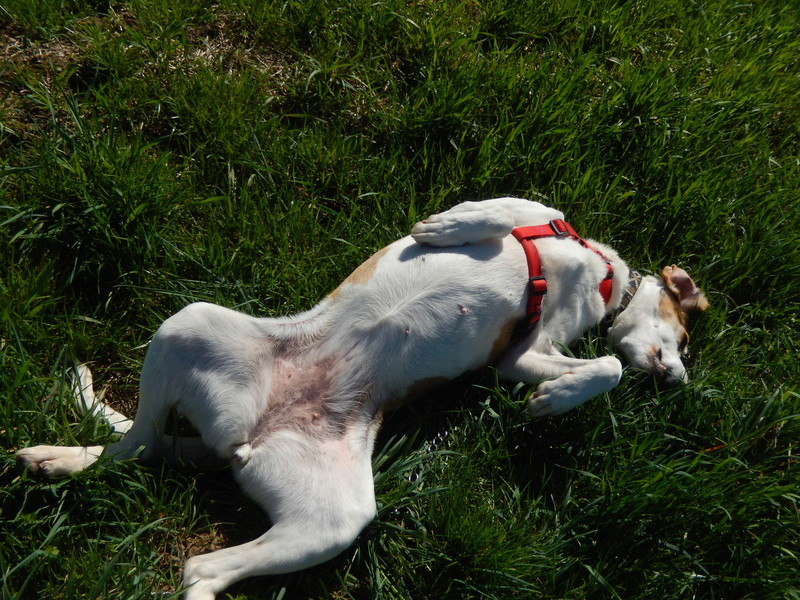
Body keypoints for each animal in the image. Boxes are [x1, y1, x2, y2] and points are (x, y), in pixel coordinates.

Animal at [17, 198, 708, 600]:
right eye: (681, 339)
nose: (676, 380)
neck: (599, 278)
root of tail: (245, 437)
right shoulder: (531, 218)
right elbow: (492, 212)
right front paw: (445, 228)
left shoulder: (523, 353)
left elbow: (601, 367)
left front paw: (554, 399)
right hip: (192, 322)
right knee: (134, 445)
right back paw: (60, 459)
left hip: (334, 517)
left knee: (180, 526)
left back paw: (57, 462)